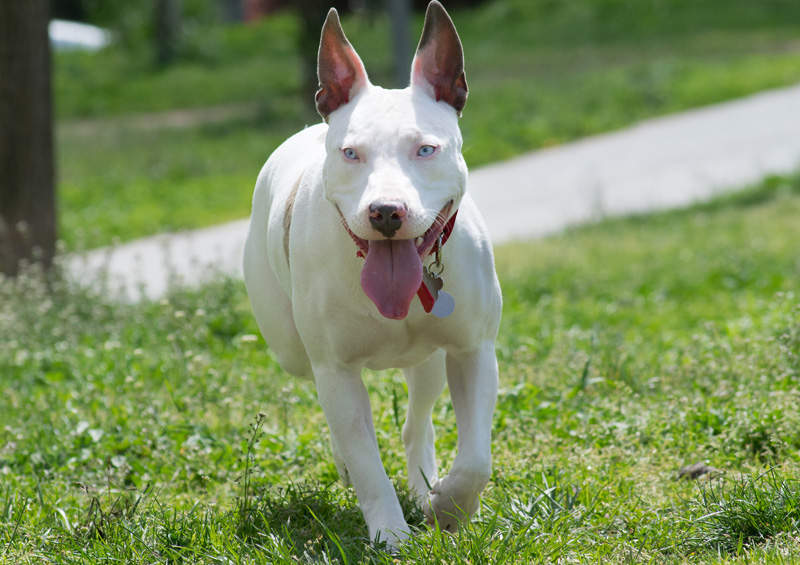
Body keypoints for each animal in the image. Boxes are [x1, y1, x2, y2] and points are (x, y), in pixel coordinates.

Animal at [245, 0, 500, 548]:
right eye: (351, 153)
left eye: (426, 149)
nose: (385, 211)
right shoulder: (336, 370)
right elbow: (366, 464)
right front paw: (391, 534)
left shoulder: (473, 351)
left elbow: (475, 459)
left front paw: (449, 508)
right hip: (294, 351)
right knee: (340, 422)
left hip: (427, 359)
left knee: (417, 421)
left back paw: (426, 483)